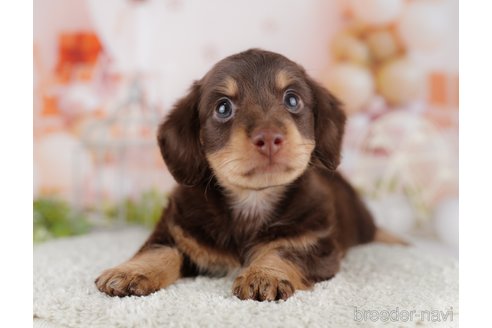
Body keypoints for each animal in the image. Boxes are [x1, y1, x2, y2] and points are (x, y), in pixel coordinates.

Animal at [96, 48, 404, 302]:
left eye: (292, 100)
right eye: (223, 107)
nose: (268, 138)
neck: (252, 198)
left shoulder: (316, 244)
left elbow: (282, 251)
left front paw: (263, 275)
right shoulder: (175, 232)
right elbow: (158, 251)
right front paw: (131, 273)